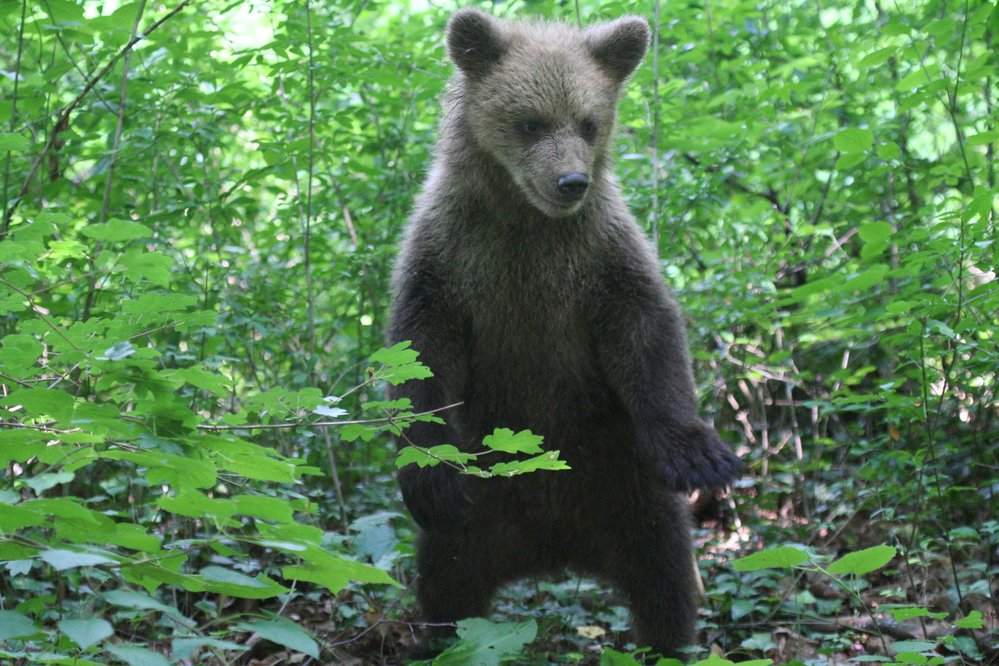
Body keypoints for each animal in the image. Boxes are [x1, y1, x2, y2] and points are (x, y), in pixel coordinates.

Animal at [386, 7, 740, 656]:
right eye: (529, 121)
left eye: (590, 121)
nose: (571, 181)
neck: (525, 221)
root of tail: (553, 551)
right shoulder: (449, 256)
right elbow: (421, 351)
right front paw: (427, 471)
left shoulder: (599, 254)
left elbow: (646, 331)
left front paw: (701, 453)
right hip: (482, 505)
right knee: (447, 579)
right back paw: (440, 638)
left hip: (624, 480)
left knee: (663, 570)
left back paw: (667, 641)